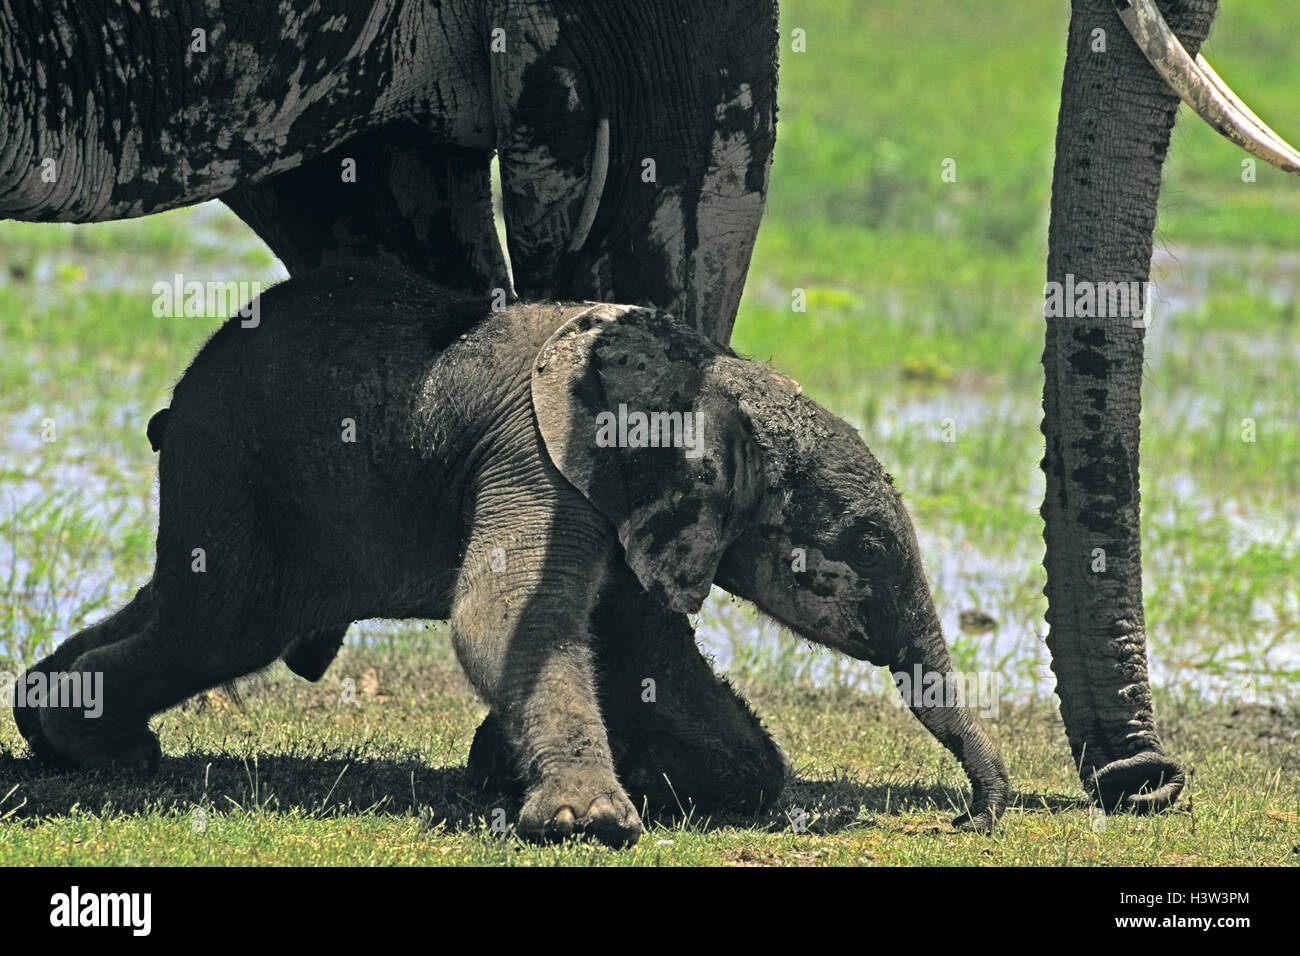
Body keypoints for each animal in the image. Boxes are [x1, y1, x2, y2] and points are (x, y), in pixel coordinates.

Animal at [11, 262, 1011, 845]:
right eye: (863, 544)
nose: (973, 817)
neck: (702, 370)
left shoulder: (622, 497)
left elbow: (646, 651)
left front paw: (735, 788)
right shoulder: (539, 456)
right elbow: (503, 618)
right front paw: (593, 823)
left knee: (179, 603)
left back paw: (52, 726)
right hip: (234, 457)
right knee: (223, 625)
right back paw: (99, 744)